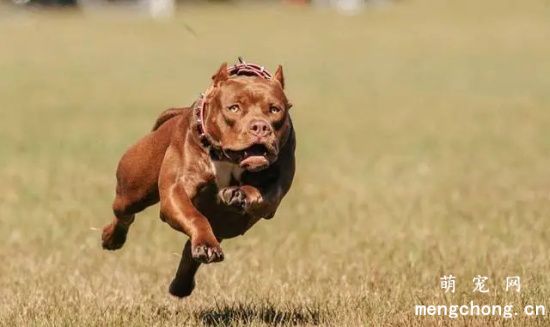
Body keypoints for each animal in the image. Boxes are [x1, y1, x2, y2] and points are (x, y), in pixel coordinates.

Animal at [99, 59, 298, 298]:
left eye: (275, 110)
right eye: (234, 108)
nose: (260, 126)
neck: (227, 157)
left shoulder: (275, 190)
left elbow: (262, 196)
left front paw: (239, 194)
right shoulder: (176, 193)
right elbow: (194, 217)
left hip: (225, 222)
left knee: (194, 245)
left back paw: (183, 282)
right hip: (133, 189)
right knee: (124, 213)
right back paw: (112, 238)